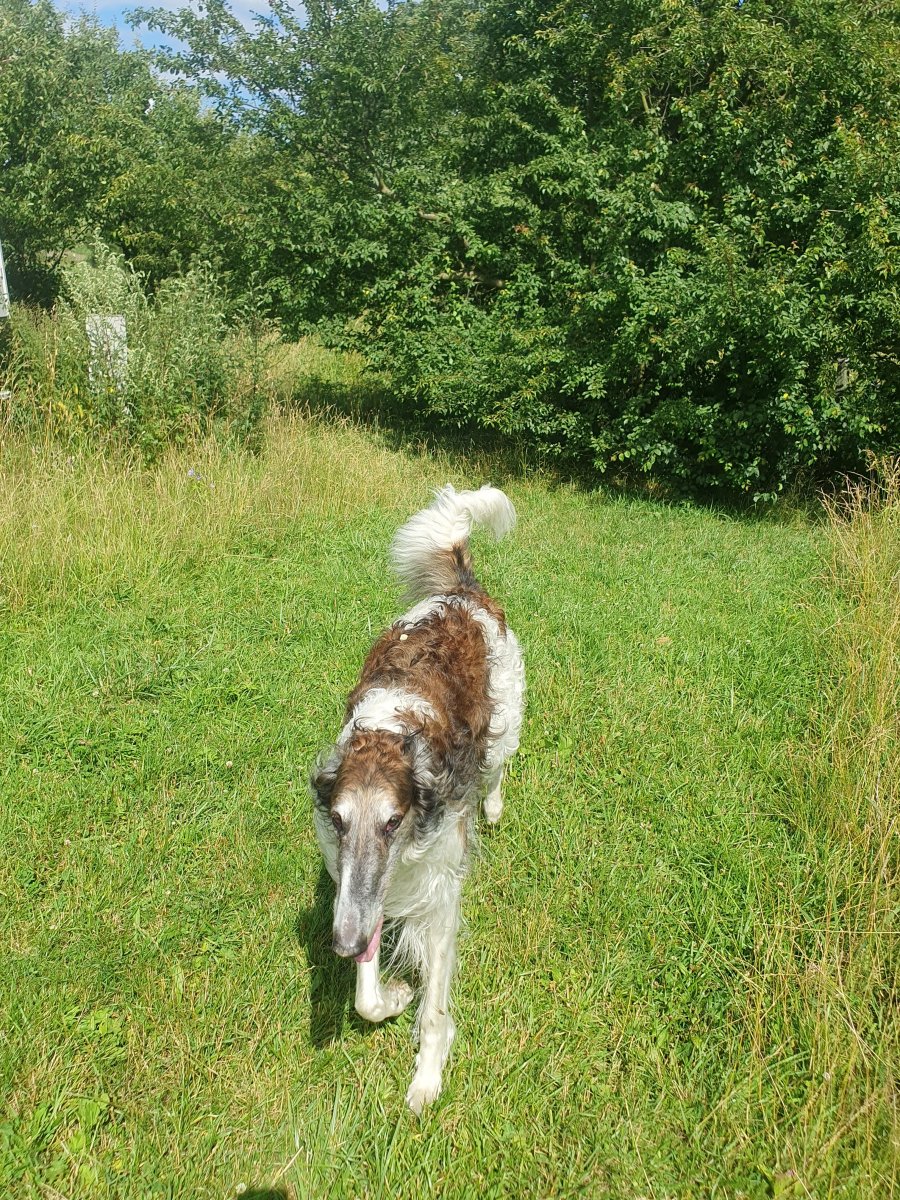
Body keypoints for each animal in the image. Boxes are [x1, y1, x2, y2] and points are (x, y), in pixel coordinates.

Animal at [310, 484, 525, 1113]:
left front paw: (427, 1076)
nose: (342, 943)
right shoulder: (364, 885)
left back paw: (494, 805)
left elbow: (436, 1007)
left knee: (498, 768)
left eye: (393, 821)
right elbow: (366, 995)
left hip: (506, 721)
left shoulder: (439, 890)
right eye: (338, 820)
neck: (389, 735)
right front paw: (394, 995)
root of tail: (460, 591)